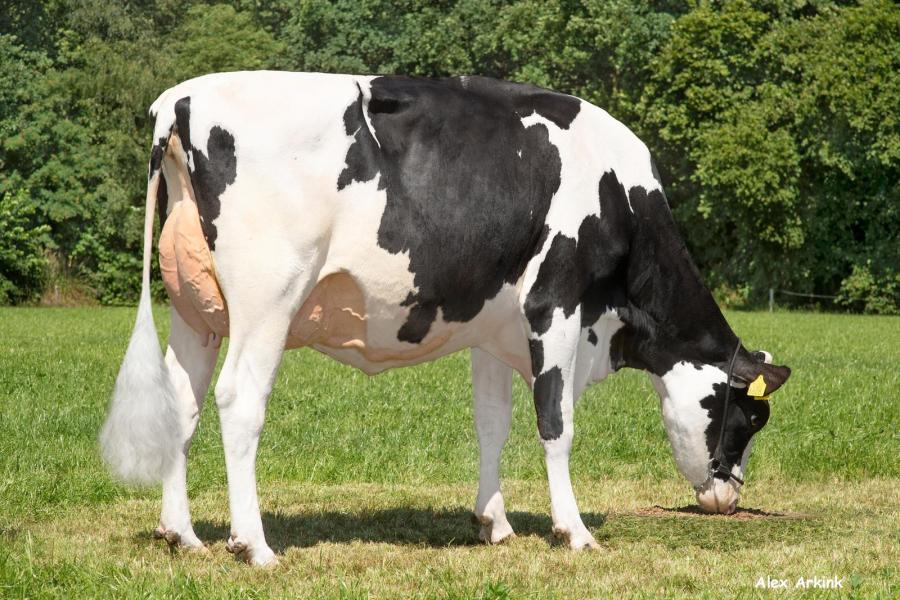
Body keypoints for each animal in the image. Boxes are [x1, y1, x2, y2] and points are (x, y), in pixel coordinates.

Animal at [100, 71, 791, 566]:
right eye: (750, 417)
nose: (730, 498)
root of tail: (182, 98)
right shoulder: (557, 307)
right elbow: (556, 422)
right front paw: (573, 530)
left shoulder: (493, 326)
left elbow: (493, 423)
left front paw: (495, 522)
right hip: (269, 297)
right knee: (240, 399)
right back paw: (255, 545)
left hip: (196, 309)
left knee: (180, 401)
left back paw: (181, 533)